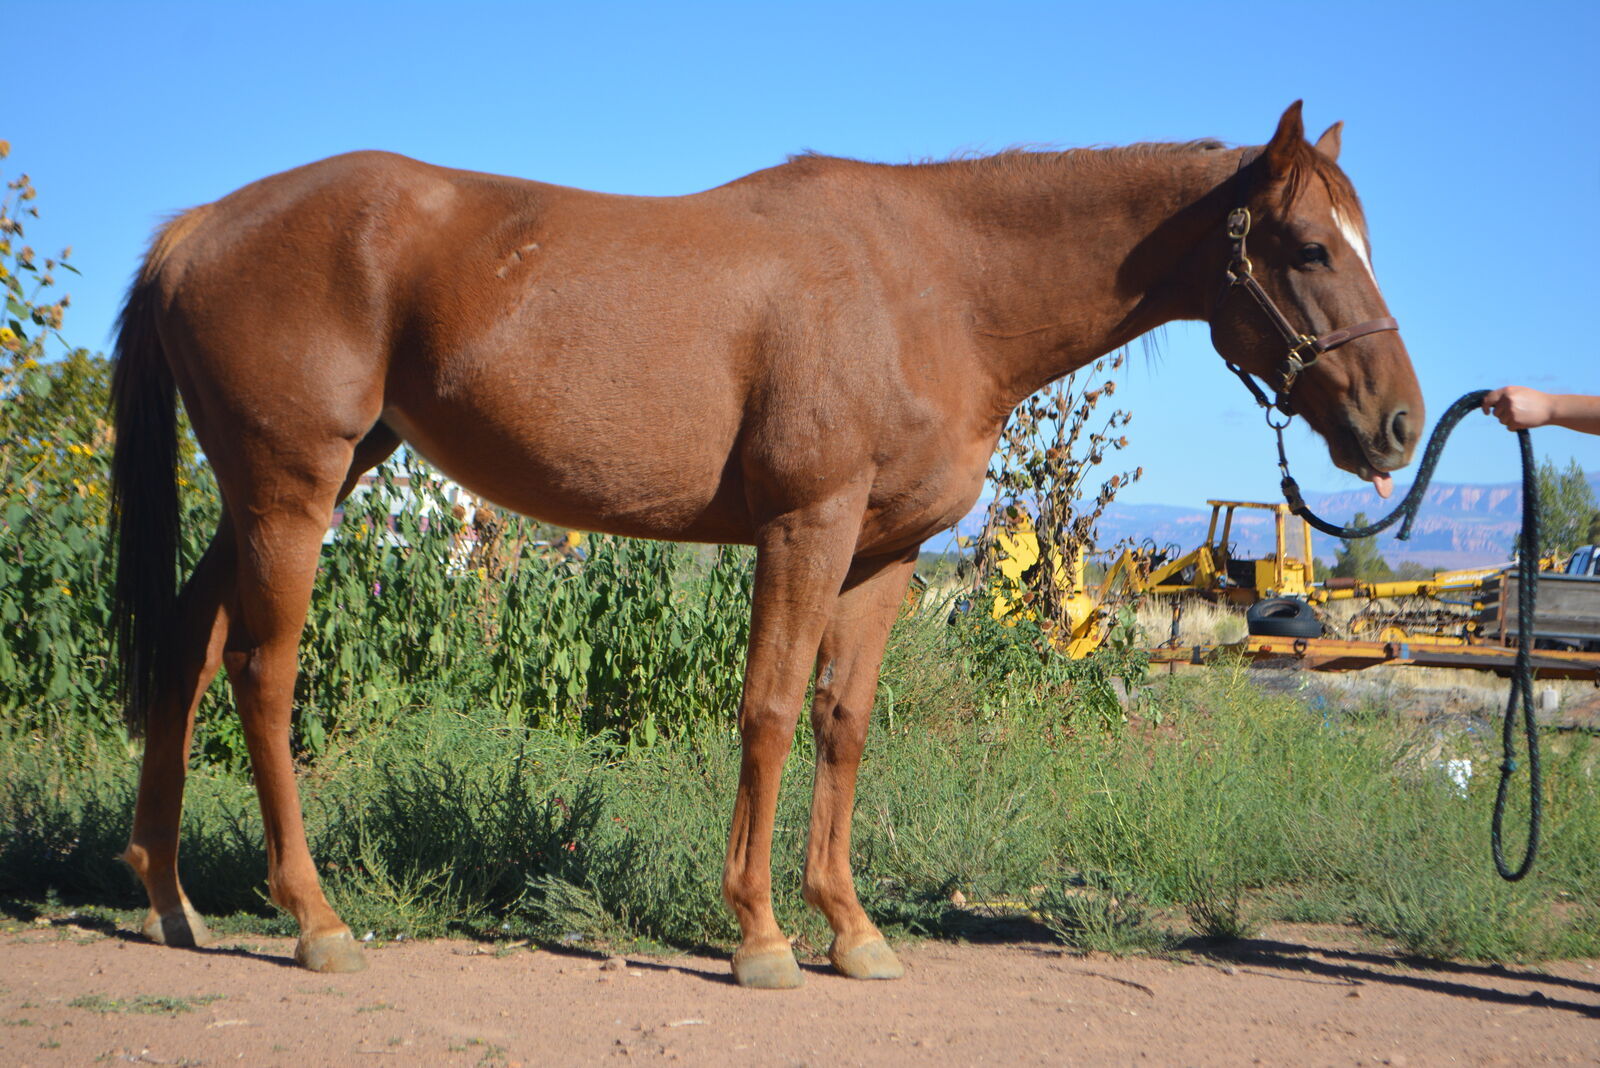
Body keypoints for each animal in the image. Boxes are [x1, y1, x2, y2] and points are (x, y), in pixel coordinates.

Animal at [109, 101, 1421, 986]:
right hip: (295, 489)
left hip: (280, 490)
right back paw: (314, 920)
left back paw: (169, 901)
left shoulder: (882, 555)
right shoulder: (807, 526)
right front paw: (758, 933)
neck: (930, 285)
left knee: (184, 649)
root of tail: (197, 229)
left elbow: (843, 722)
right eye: (1309, 246)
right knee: (261, 672)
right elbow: (773, 709)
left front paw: (850, 928)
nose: (1399, 425)